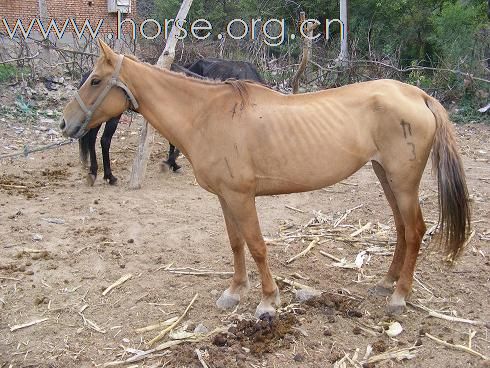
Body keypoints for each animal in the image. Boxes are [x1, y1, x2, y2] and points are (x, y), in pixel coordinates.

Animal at [78, 58, 264, 187]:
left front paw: (172, 163)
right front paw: (169, 163)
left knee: (92, 138)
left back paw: (93, 172)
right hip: (113, 116)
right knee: (104, 140)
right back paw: (109, 176)